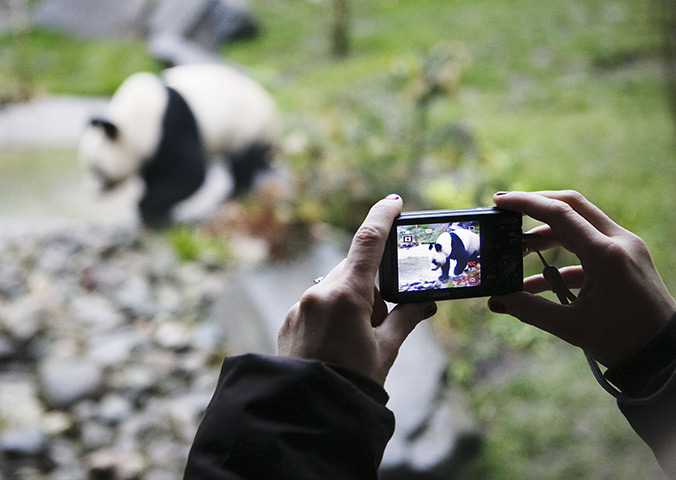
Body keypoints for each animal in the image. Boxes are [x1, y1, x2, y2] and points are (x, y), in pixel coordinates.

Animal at [79, 62, 278, 226]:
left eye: (97, 168)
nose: (93, 189)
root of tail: (269, 106)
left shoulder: (168, 126)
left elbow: (190, 173)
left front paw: (148, 211)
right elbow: (158, 174)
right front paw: (160, 213)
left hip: (245, 124)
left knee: (243, 161)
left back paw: (235, 193)